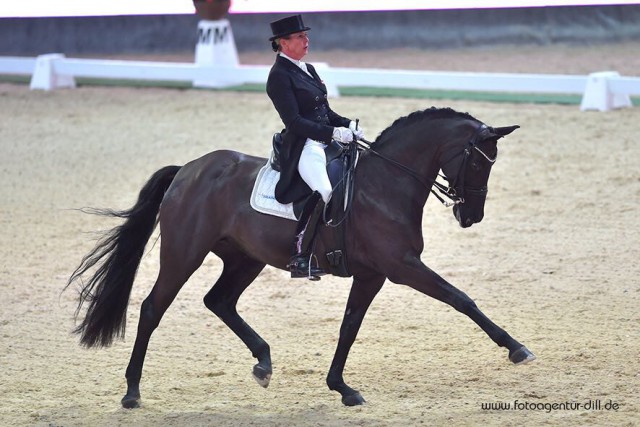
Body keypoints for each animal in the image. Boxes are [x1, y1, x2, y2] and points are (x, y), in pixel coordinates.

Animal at [66, 106, 536, 408]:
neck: (385, 183)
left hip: (245, 259)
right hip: (183, 255)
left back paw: (263, 362)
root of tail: (187, 170)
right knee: (151, 308)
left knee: (219, 301)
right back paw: (131, 392)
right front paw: (516, 348)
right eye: (479, 162)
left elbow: (349, 327)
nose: (470, 216)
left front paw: (341, 387)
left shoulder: (373, 275)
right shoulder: (402, 267)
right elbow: (461, 299)